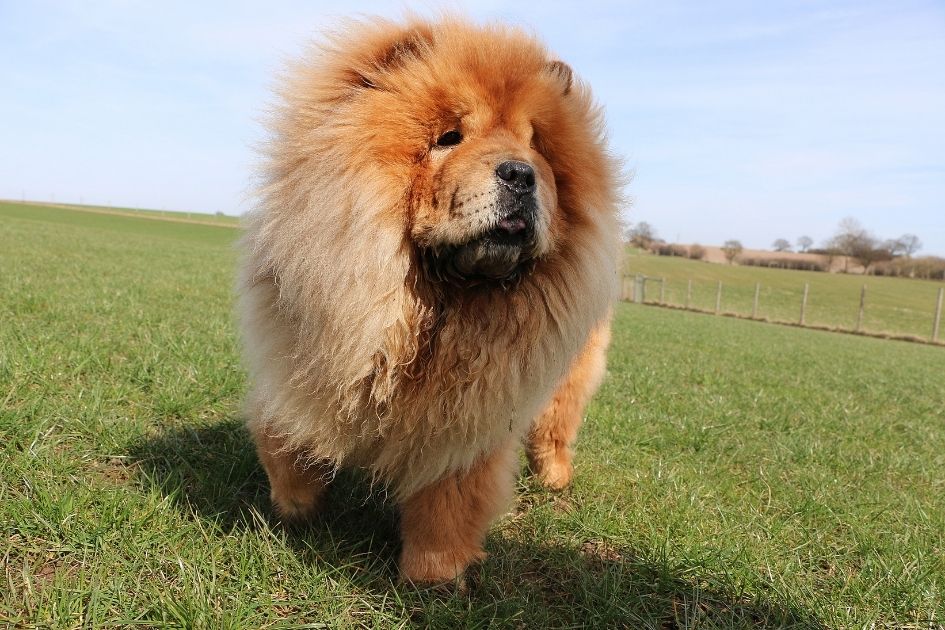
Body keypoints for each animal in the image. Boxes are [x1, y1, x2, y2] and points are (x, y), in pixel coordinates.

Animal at [238, 14, 620, 584]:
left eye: (537, 148)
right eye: (448, 138)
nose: (520, 173)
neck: (432, 307)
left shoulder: (468, 423)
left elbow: (447, 504)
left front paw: (432, 576)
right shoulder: (301, 357)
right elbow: (285, 437)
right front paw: (295, 508)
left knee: (555, 426)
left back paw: (554, 478)